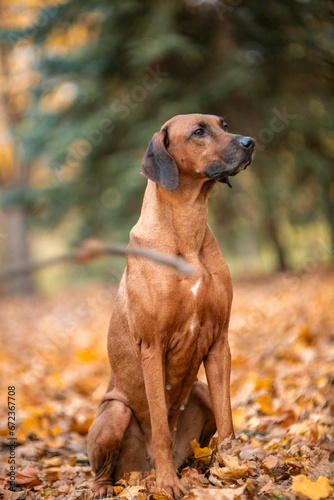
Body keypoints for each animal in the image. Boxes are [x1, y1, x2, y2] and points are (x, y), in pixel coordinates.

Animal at [87, 114, 254, 500]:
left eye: (224, 124)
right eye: (198, 131)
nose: (250, 142)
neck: (187, 233)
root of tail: (139, 470)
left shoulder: (219, 339)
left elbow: (228, 421)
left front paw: (231, 469)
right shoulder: (152, 346)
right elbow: (161, 426)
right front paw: (167, 485)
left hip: (200, 391)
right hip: (115, 411)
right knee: (104, 469)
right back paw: (112, 485)